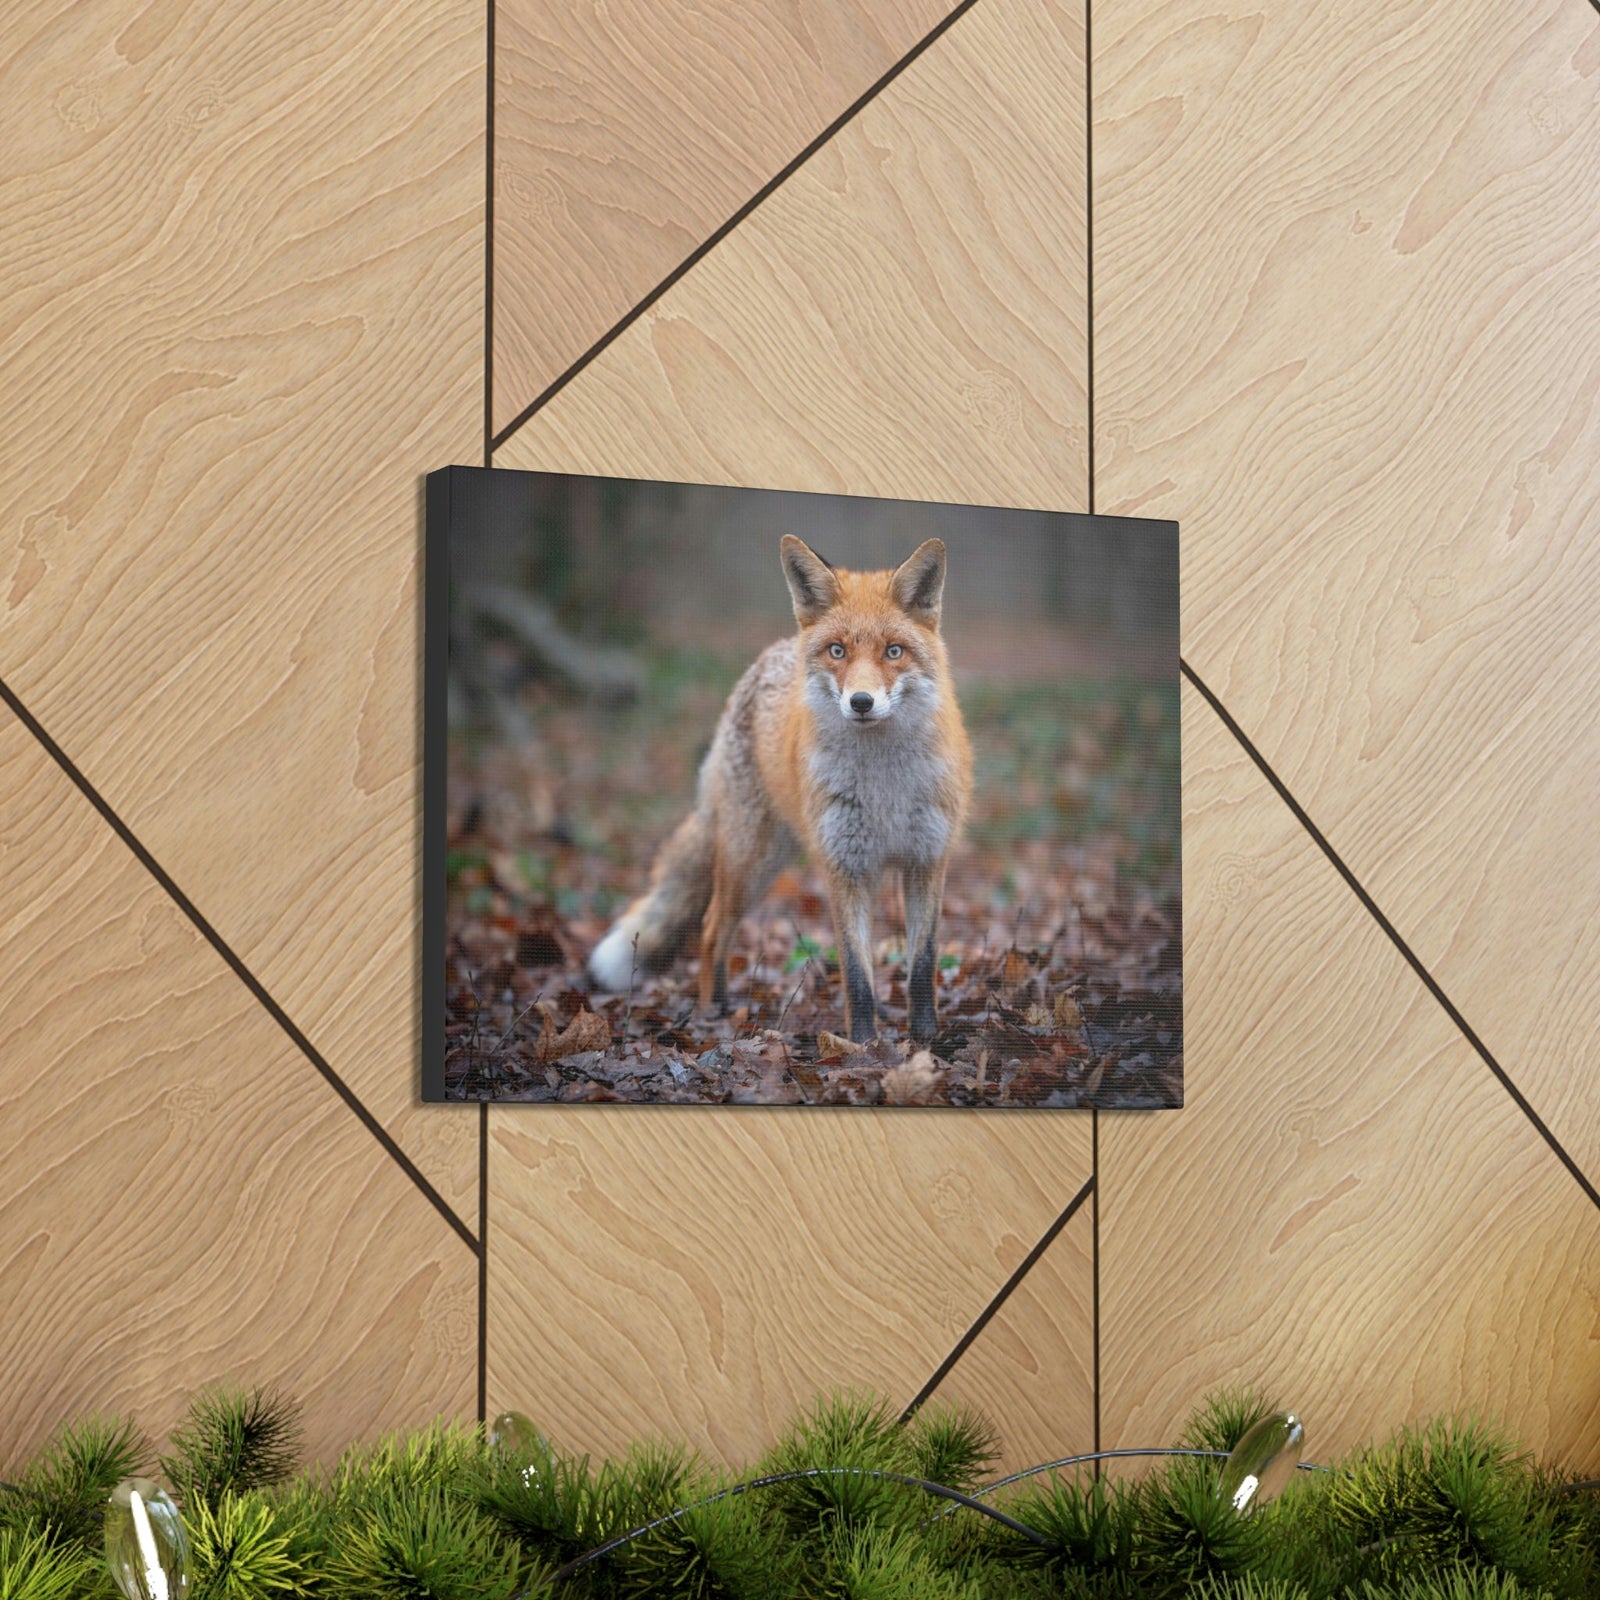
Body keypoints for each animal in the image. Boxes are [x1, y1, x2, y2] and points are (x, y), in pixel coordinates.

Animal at [587, 535, 973, 1045]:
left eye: (894, 652)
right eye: (837, 651)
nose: (861, 702)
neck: (883, 787)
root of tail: (770, 654)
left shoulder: (927, 860)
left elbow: (922, 964)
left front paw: (927, 1039)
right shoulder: (844, 866)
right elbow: (856, 973)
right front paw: (863, 1045)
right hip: (750, 862)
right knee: (710, 930)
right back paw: (714, 1012)